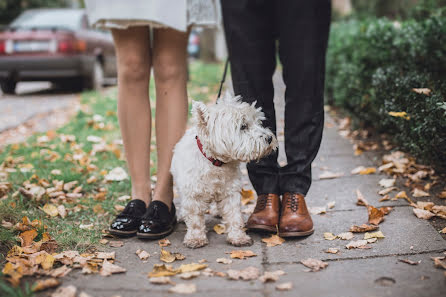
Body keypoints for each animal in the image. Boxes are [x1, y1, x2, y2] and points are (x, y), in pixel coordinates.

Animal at [170, 93, 278, 246]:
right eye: (243, 126)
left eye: (258, 122)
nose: (269, 138)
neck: (216, 163)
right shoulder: (193, 195)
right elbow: (195, 218)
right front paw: (196, 238)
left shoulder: (230, 192)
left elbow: (234, 216)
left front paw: (238, 237)